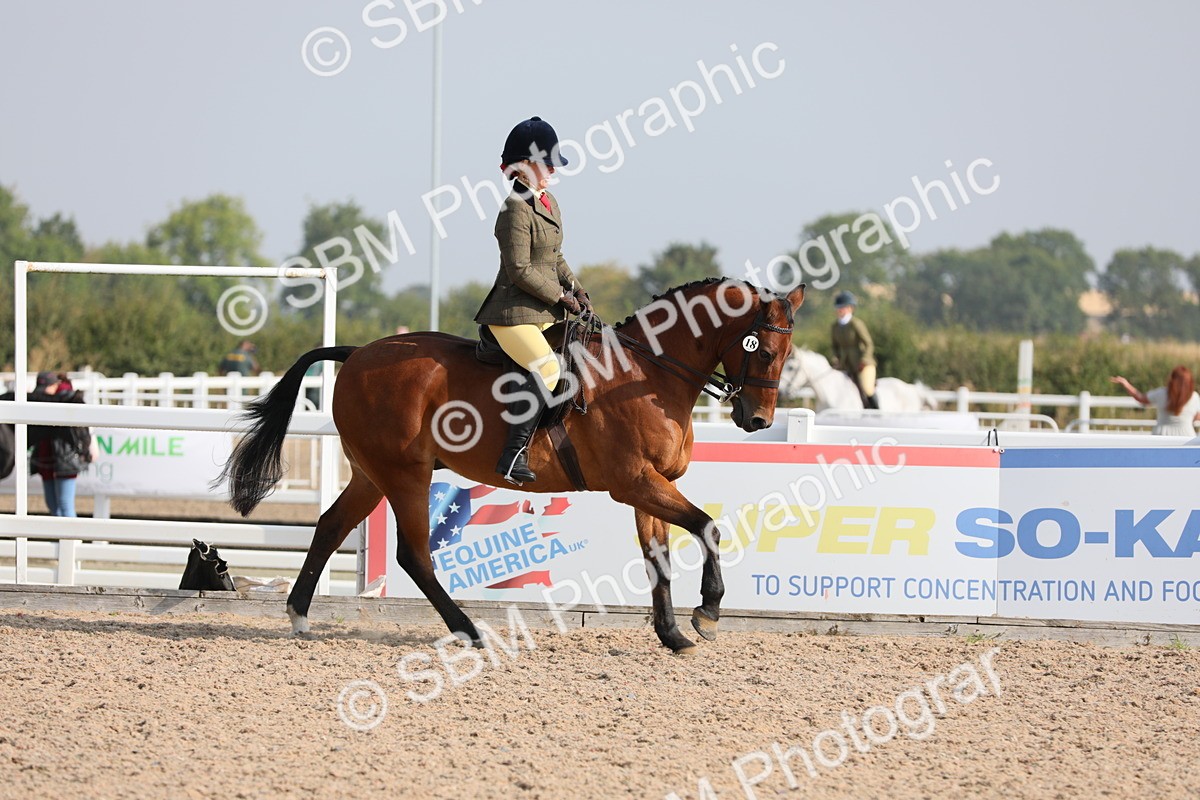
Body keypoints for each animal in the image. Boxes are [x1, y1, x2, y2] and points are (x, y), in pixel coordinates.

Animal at [220, 279, 806, 654]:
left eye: (787, 353)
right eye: (762, 350)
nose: (756, 419)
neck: (648, 373)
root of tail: (359, 352)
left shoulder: (651, 486)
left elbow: (657, 557)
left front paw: (673, 636)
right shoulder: (635, 483)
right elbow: (707, 527)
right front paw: (707, 614)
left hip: (372, 474)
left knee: (329, 526)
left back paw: (299, 616)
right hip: (406, 474)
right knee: (414, 555)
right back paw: (469, 632)